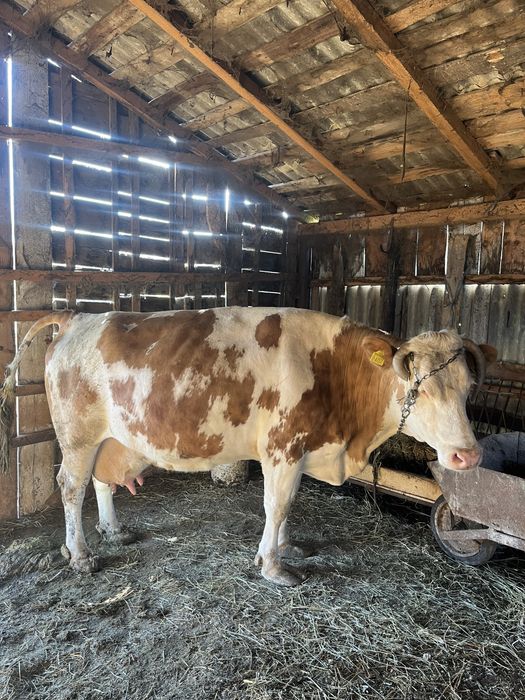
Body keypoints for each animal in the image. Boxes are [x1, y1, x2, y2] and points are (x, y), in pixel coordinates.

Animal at [0, 307, 492, 586]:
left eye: (469, 387)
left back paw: (113, 530)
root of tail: (77, 318)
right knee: (71, 486)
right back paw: (81, 555)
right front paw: (273, 566)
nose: (468, 455)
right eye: (420, 390)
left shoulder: (297, 451)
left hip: (111, 437)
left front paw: (287, 547)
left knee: (101, 483)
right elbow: (277, 504)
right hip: (77, 437)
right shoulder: (283, 447)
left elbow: (289, 504)